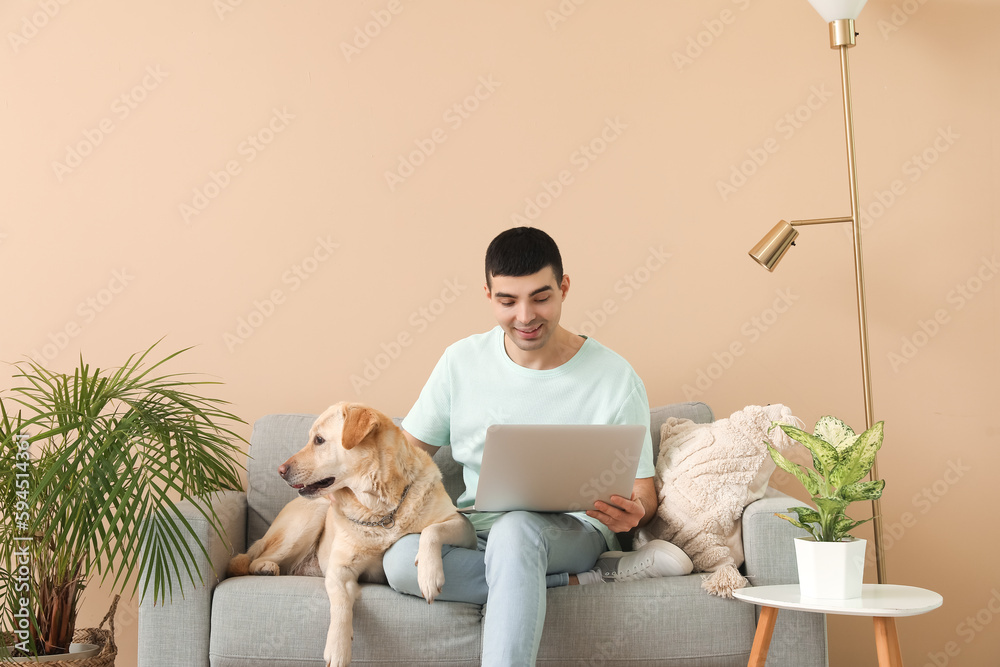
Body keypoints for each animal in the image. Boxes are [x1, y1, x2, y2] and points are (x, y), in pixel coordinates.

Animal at [227, 402, 476, 667]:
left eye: (319, 440)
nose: (280, 470)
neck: (380, 510)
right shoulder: (339, 570)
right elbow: (341, 605)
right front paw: (338, 648)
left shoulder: (462, 525)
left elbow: (431, 530)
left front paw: (429, 575)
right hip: (309, 519)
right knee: (256, 557)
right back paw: (265, 568)